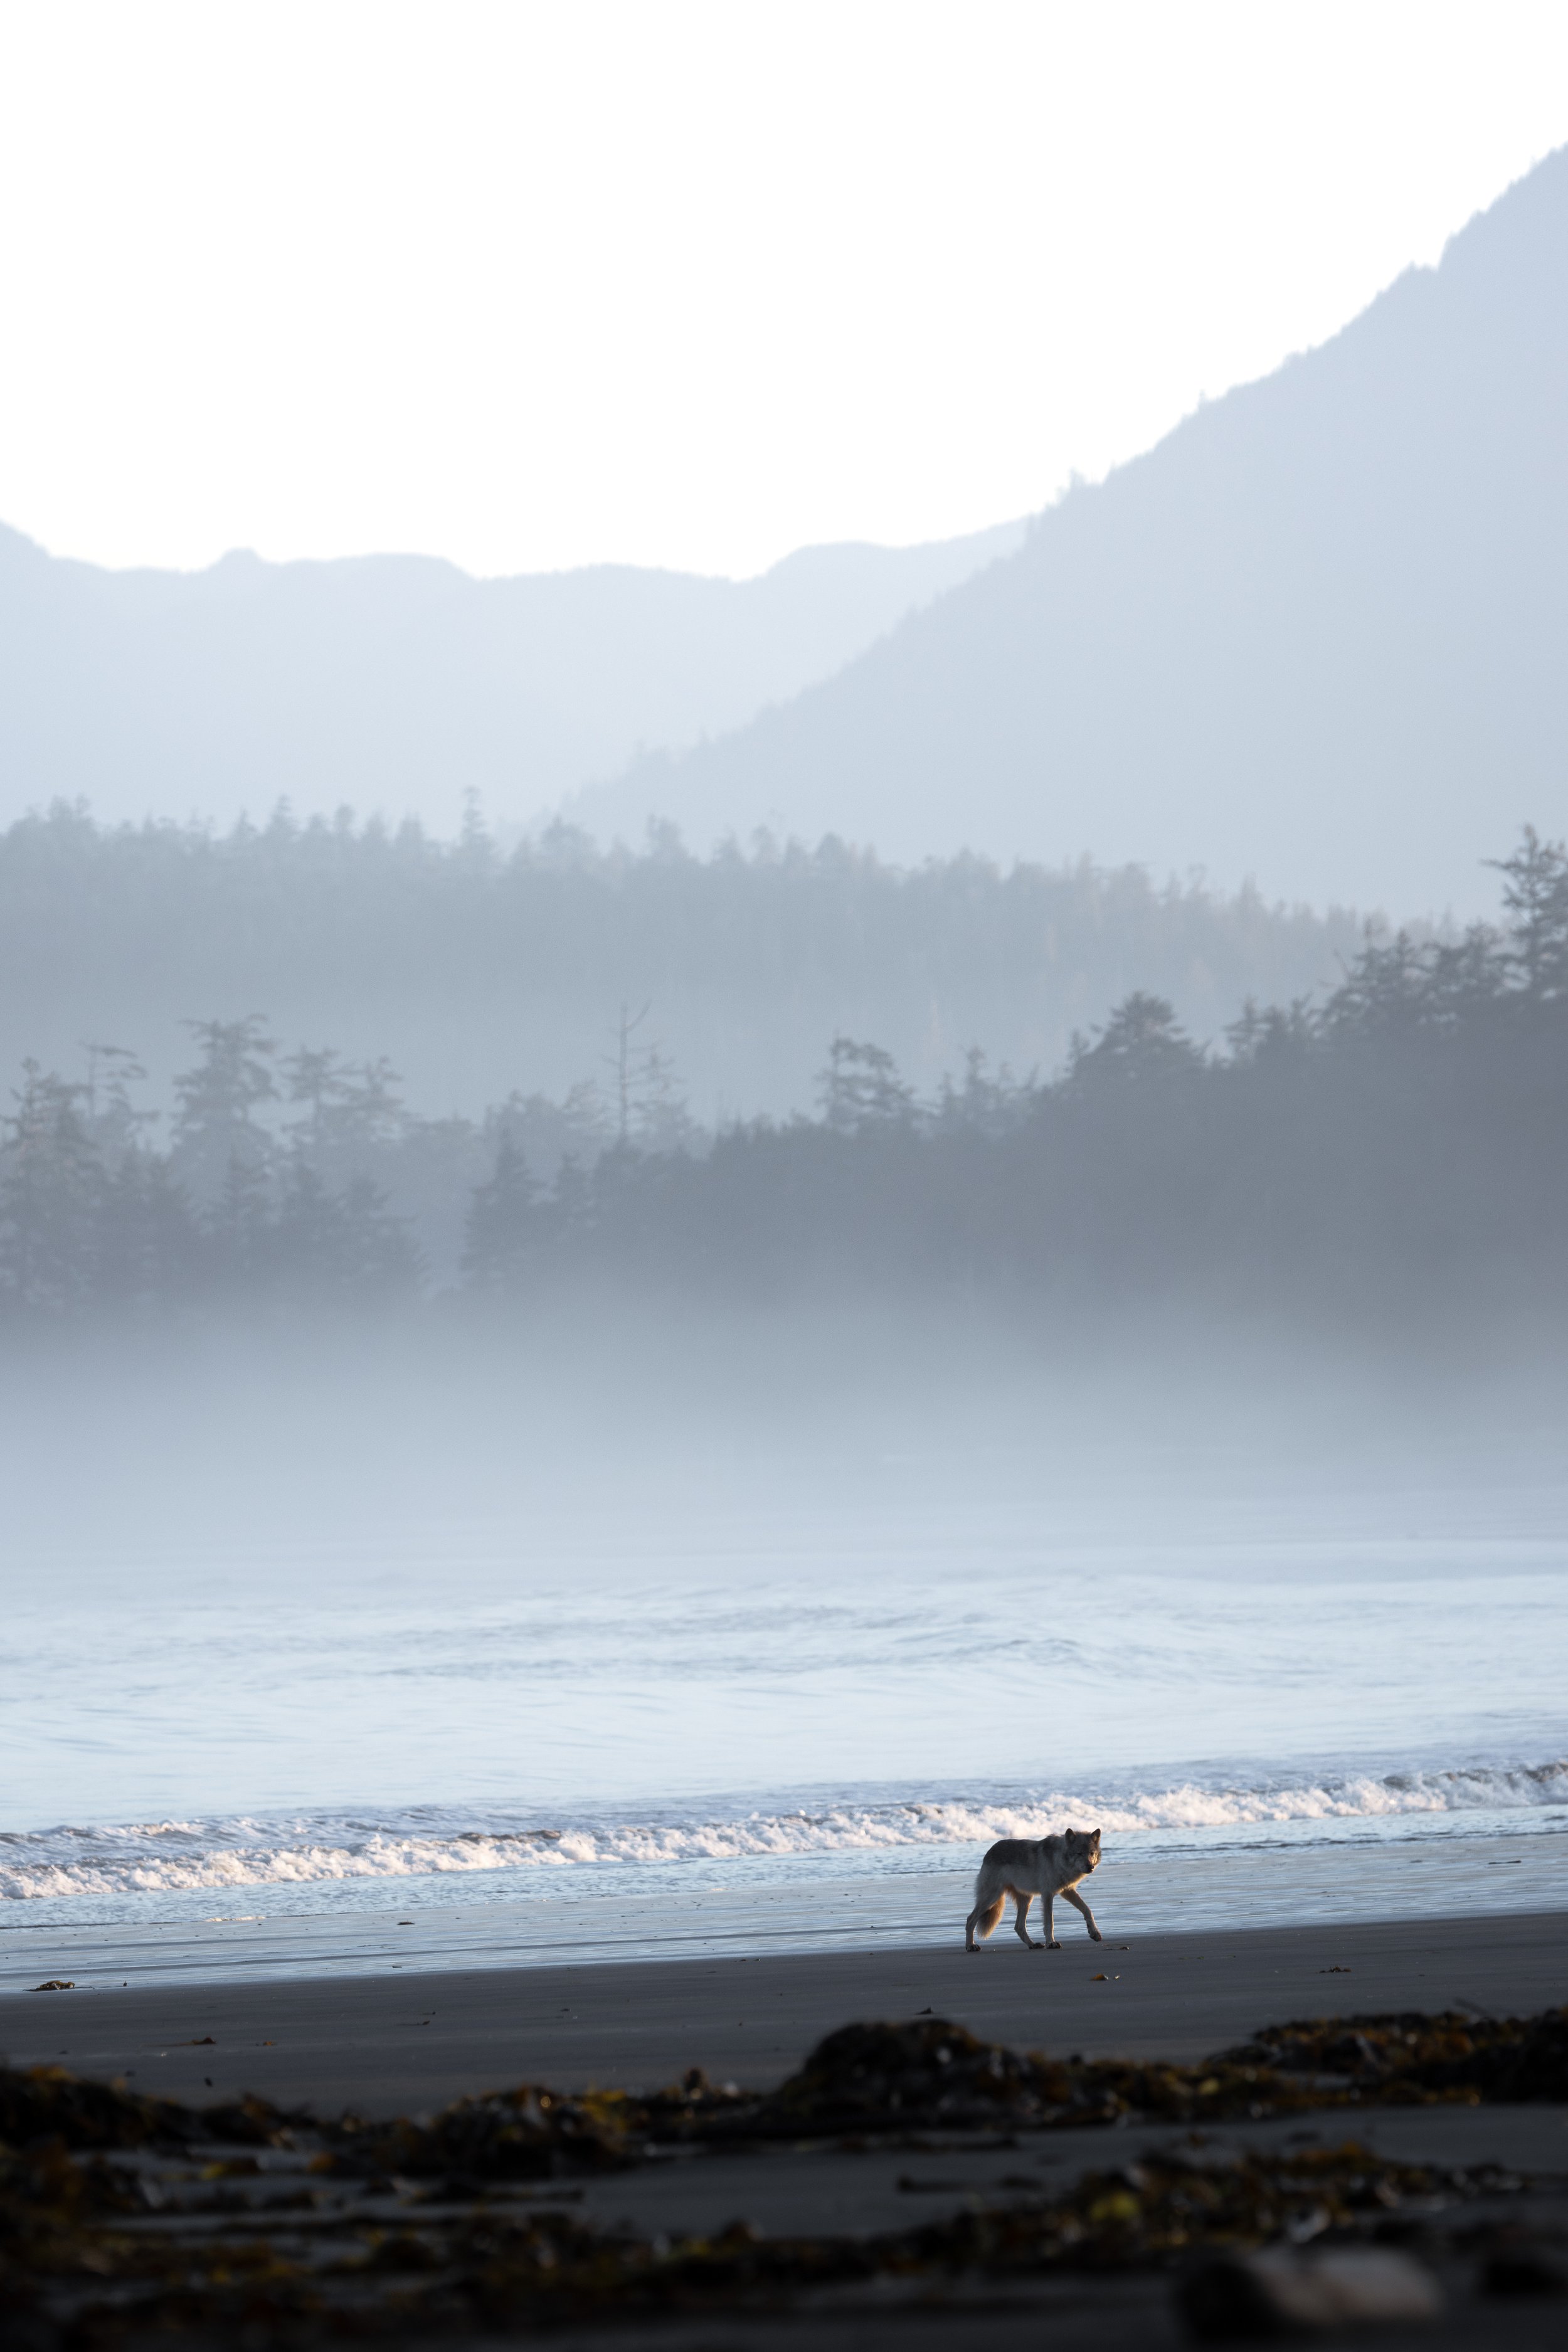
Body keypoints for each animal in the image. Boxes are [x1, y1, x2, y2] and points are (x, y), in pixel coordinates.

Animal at [964, 1827, 1103, 1951]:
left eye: (1092, 1853)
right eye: (1079, 1853)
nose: (1090, 1867)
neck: (1058, 1859)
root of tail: (989, 1852)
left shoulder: (1067, 1891)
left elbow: (1087, 1910)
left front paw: (1094, 1932)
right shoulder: (1048, 1895)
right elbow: (1049, 1923)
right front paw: (1051, 1943)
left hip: (1026, 1900)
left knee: (1019, 1927)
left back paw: (1033, 1944)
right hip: (992, 1898)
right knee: (970, 1919)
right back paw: (971, 1946)